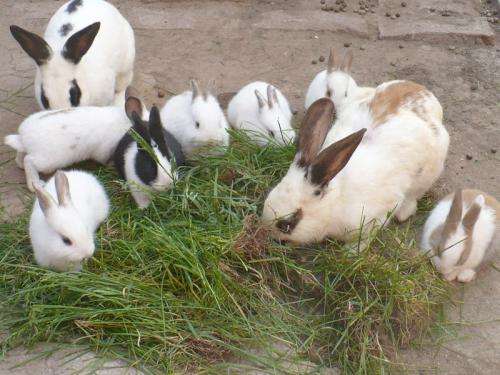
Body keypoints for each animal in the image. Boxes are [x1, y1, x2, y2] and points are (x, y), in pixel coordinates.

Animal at [3, 94, 146, 194]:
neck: (128, 126)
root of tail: (24, 137)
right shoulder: (104, 151)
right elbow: (104, 159)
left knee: (21, 154)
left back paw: (20, 165)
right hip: (48, 161)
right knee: (29, 161)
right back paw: (36, 185)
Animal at [262, 86, 450, 245]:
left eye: (287, 223)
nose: (268, 235)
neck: (335, 201)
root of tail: (425, 93)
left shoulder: (374, 220)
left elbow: (363, 241)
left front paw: (351, 252)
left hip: (427, 176)